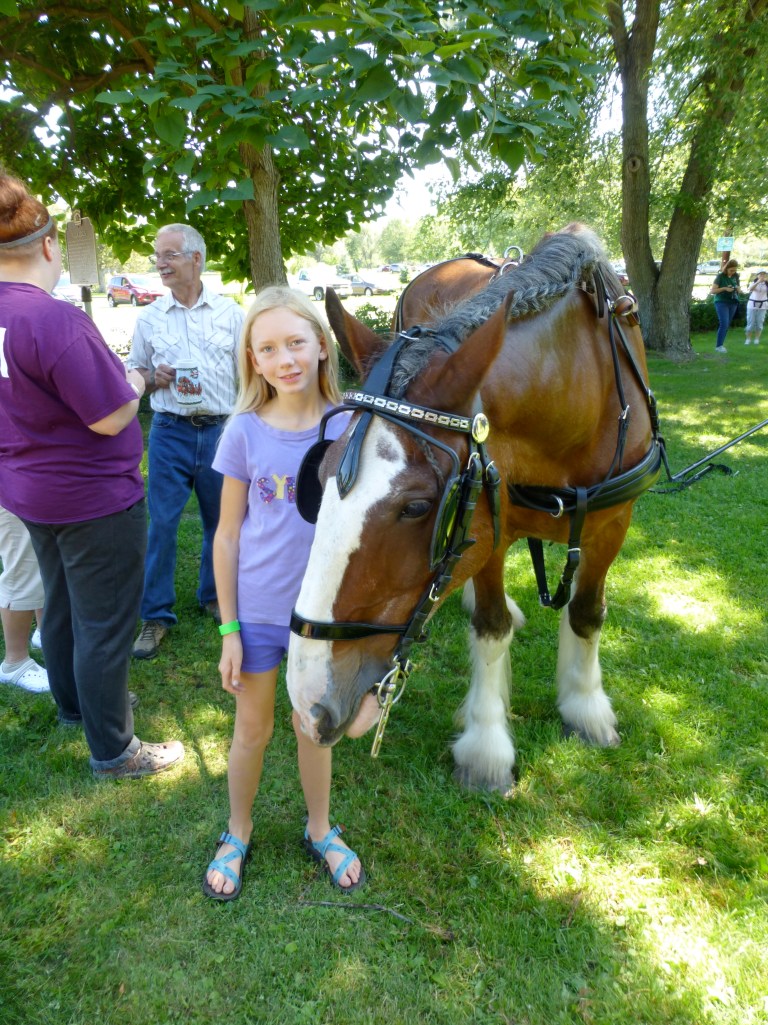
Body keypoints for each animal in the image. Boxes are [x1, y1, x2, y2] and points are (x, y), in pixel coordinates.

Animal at [287, 224, 663, 794]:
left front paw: (585, 708)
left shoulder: (614, 523)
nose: (310, 700)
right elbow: (490, 626)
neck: (581, 385)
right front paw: (487, 747)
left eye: (418, 506)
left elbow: (586, 613)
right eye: (320, 476)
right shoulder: (491, 524)